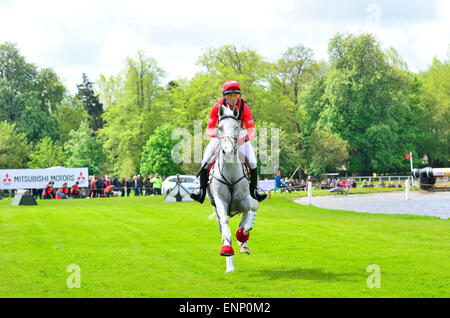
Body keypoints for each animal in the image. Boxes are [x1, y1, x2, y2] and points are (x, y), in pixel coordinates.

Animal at [207, 105, 258, 274]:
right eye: (220, 128)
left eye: (236, 127)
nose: (228, 151)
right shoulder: (220, 201)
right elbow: (225, 222)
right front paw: (227, 253)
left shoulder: (244, 199)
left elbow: (252, 208)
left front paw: (242, 236)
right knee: (223, 226)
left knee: (246, 215)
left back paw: (243, 243)